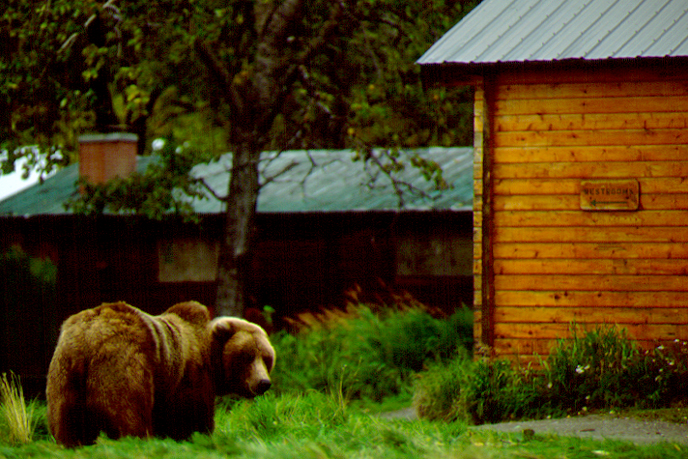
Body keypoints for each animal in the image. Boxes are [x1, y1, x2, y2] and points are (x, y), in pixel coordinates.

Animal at [46, 301, 275, 447]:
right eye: (247, 356)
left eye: (266, 358)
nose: (263, 382)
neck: (210, 355)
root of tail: (90, 333)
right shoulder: (191, 376)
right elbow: (191, 417)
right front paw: (199, 437)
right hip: (123, 361)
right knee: (128, 412)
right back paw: (136, 441)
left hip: (65, 368)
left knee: (65, 418)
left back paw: (71, 444)